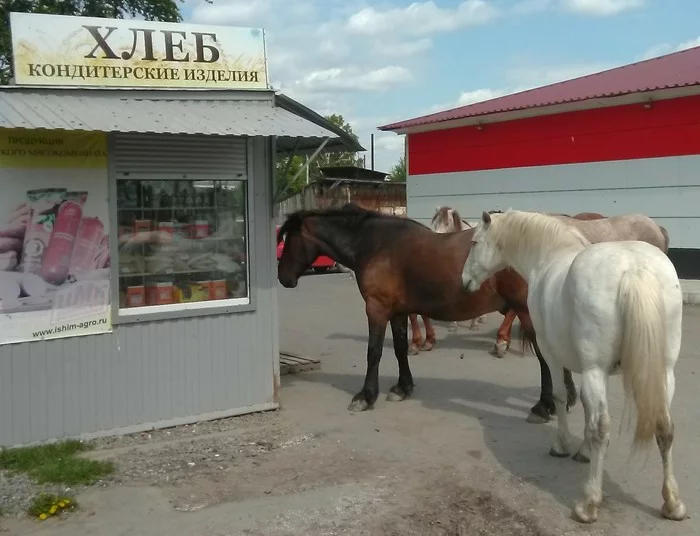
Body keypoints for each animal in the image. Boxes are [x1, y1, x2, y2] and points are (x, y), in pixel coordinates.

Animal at [462, 208, 688, 524]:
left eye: (474, 242)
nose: (464, 281)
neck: (550, 254)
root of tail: (633, 269)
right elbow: (585, 405)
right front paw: (584, 451)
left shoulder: (554, 355)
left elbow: (561, 397)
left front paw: (562, 444)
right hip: (664, 373)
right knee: (664, 428)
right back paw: (672, 503)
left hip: (597, 370)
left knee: (604, 428)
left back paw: (589, 503)